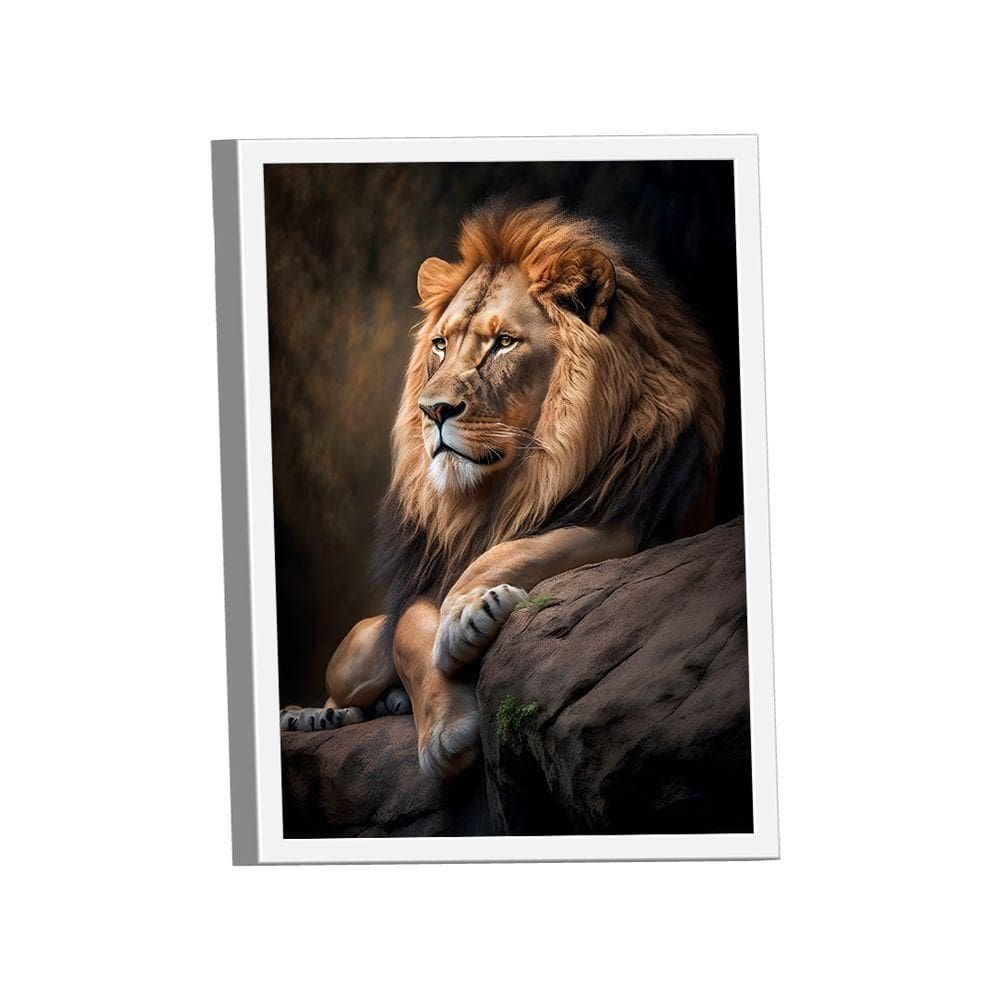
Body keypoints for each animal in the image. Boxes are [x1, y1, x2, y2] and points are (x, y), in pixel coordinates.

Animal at [281, 199, 725, 779]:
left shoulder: (643, 522)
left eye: (503, 343)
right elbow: (410, 632)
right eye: (441, 345)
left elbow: (531, 545)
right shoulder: (421, 583)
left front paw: (469, 613)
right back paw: (315, 716)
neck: (503, 490)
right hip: (358, 651)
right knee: (351, 682)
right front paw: (445, 731)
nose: (433, 410)